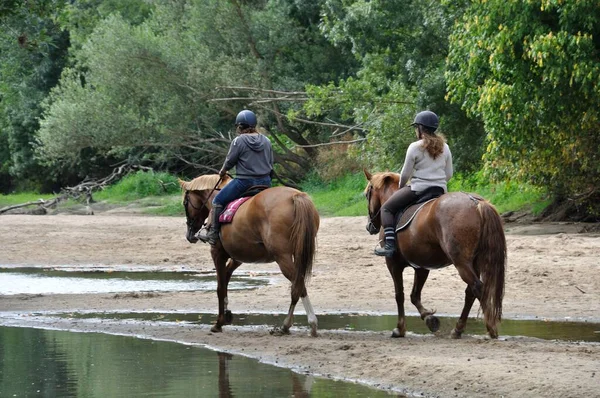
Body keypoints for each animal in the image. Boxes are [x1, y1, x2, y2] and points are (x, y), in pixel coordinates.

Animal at [179, 174, 322, 336]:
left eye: (185, 203)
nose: (189, 234)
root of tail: (295, 196)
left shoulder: (217, 254)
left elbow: (220, 287)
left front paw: (219, 322)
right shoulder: (237, 257)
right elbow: (226, 279)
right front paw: (227, 314)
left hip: (283, 257)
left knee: (298, 285)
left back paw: (302, 323)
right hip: (297, 254)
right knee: (297, 286)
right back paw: (290, 325)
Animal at [366, 169, 506, 338]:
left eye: (367, 194)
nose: (370, 226)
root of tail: (476, 202)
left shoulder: (393, 264)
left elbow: (400, 295)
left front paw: (400, 329)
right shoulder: (421, 266)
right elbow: (414, 295)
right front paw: (429, 319)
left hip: (462, 263)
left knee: (477, 287)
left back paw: (491, 328)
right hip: (475, 262)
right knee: (471, 292)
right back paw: (458, 329)